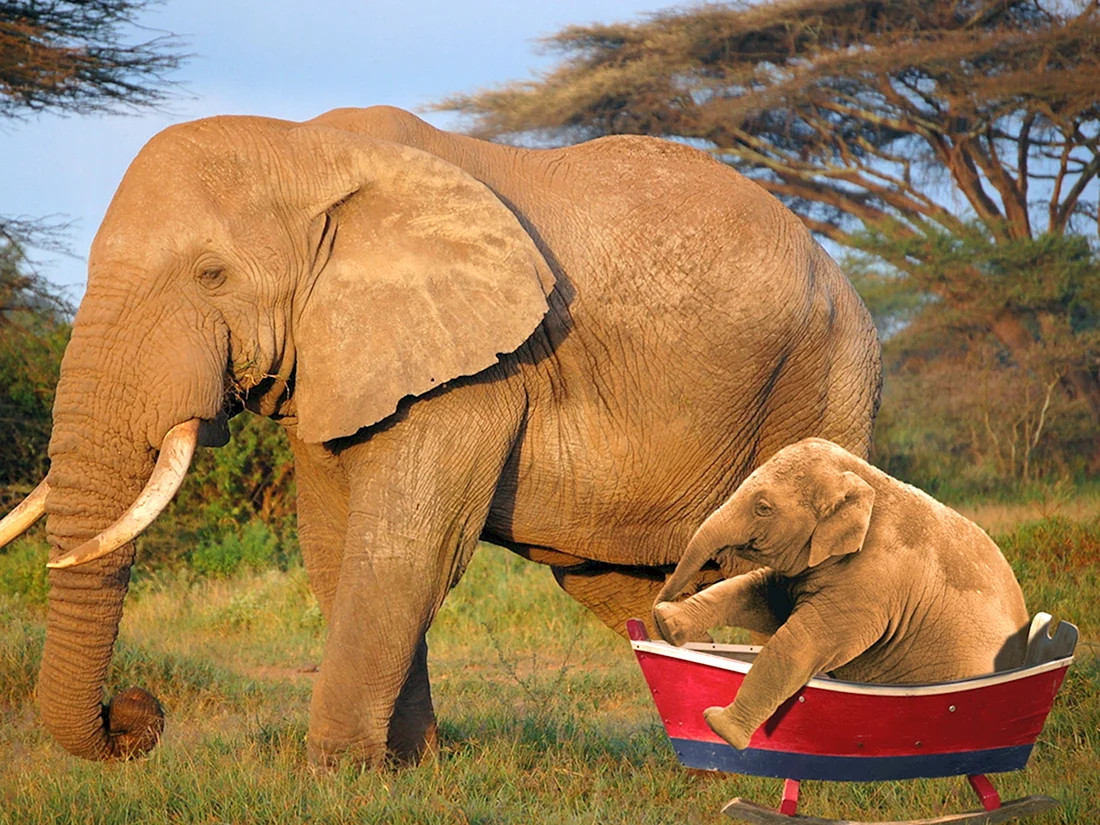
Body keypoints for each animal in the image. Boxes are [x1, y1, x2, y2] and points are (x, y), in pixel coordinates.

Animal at [0, 106, 881, 768]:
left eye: (211, 274)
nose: (135, 716)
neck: (308, 148)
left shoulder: (475, 371)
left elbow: (402, 548)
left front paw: (338, 774)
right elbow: (337, 549)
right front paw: (407, 767)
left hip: (825, 385)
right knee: (645, 595)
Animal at [652, 437, 1029, 750]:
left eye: (763, 508)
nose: (656, 607)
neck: (863, 479)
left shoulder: (872, 583)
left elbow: (800, 640)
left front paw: (718, 725)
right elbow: (759, 593)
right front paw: (669, 623)